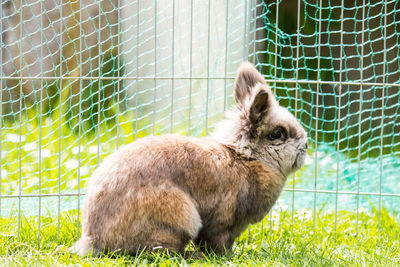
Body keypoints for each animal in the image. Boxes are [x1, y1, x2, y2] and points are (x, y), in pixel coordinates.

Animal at [72, 62, 308, 258]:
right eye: (277, 134)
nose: (306, 146)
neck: (247, 158)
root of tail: (93, 240)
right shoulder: (222, 223)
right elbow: (216, 242)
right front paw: (226, 257)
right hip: (179, 218)